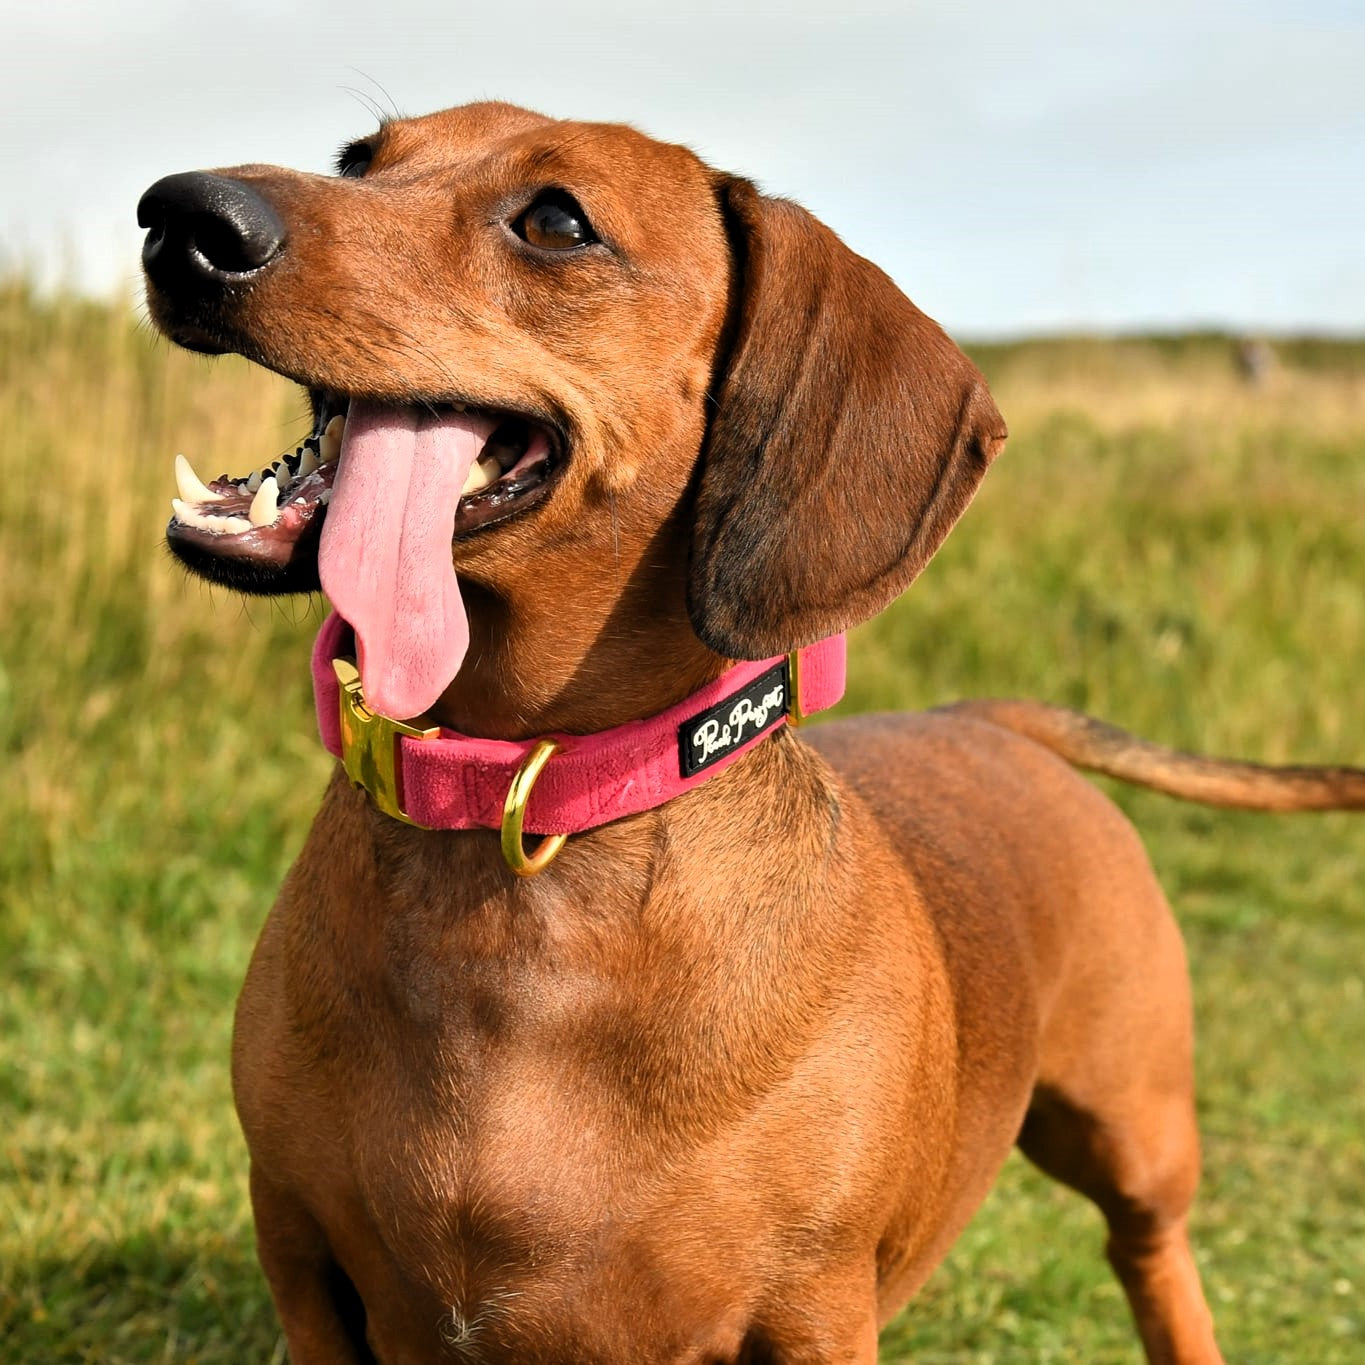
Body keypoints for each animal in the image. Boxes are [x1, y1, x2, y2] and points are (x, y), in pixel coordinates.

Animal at [135, 101, 1365, 1359]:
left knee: (1151, 1253)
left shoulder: (812, 1303)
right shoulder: (299, 1255)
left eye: (557, 223)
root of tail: (981, 715)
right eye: (359, 159)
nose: (183, 217)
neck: (526, 826)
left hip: (1137, 1136)